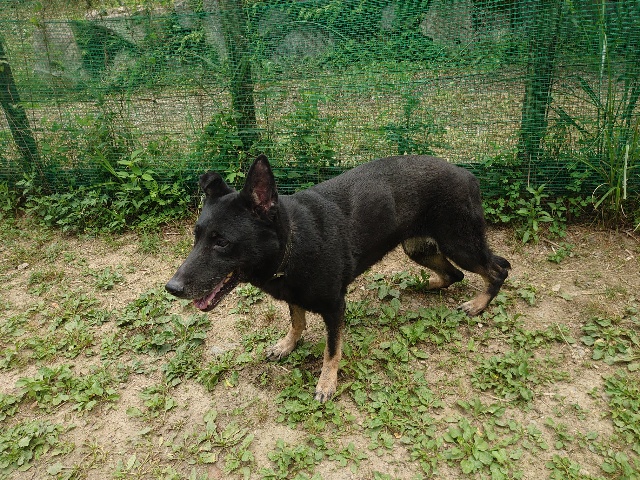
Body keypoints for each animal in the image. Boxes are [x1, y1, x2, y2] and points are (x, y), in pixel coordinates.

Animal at [166, 154, 510, 401]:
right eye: (196, 236)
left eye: (222, 242)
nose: (172, 288)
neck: (293, 242)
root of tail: (466, 174)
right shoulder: (294, 294)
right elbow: (297, 321)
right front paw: (287, 344)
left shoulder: (334, 308)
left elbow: (332, 351)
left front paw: (327, 383)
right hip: (418, 248)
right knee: (455, 274)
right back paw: (429, 286)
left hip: (459, 243)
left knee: (498, 269)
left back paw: (479, 304)